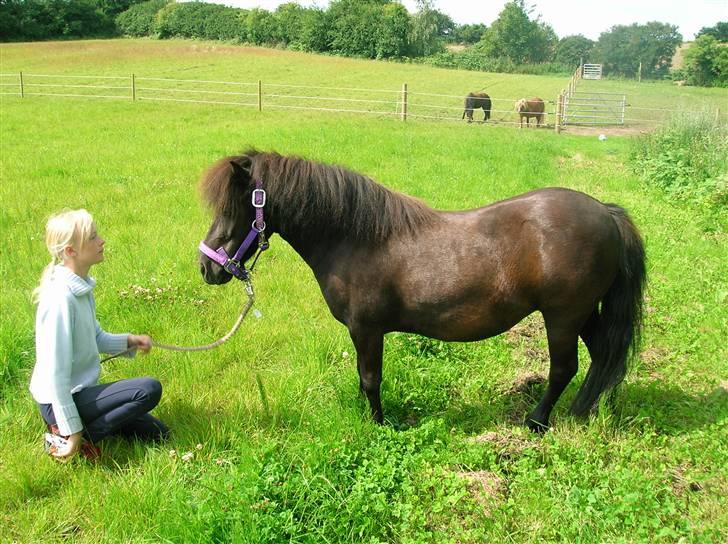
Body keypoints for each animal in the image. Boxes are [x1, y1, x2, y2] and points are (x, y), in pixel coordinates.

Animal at [200, 151, 648, 432]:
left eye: (233, 208)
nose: (207, 267)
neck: (354, 238)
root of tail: (605, 212)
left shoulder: (367, 330)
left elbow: (370, 379)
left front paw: (378, 424)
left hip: (563, 316)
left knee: (564, 369)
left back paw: (538, 422)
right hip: (585, 313)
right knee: (605, 356)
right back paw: (593, 409)